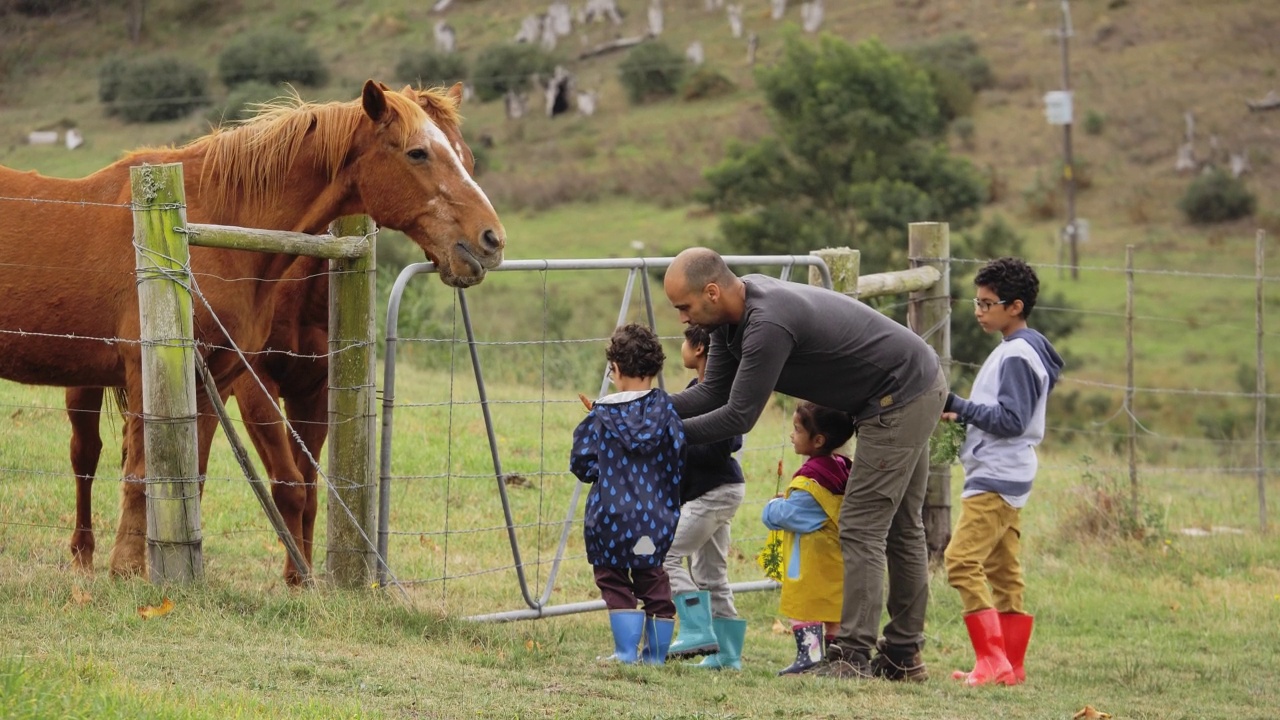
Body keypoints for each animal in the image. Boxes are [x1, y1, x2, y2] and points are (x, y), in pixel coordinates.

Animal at [3, 78, 504, 576]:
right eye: (418, 152)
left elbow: (192, 478)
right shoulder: (169, 374)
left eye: (466, 157)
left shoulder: (217, 383)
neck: (209, 225)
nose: (491, 240)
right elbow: (143, 473)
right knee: (85, 457)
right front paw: (129, 569)